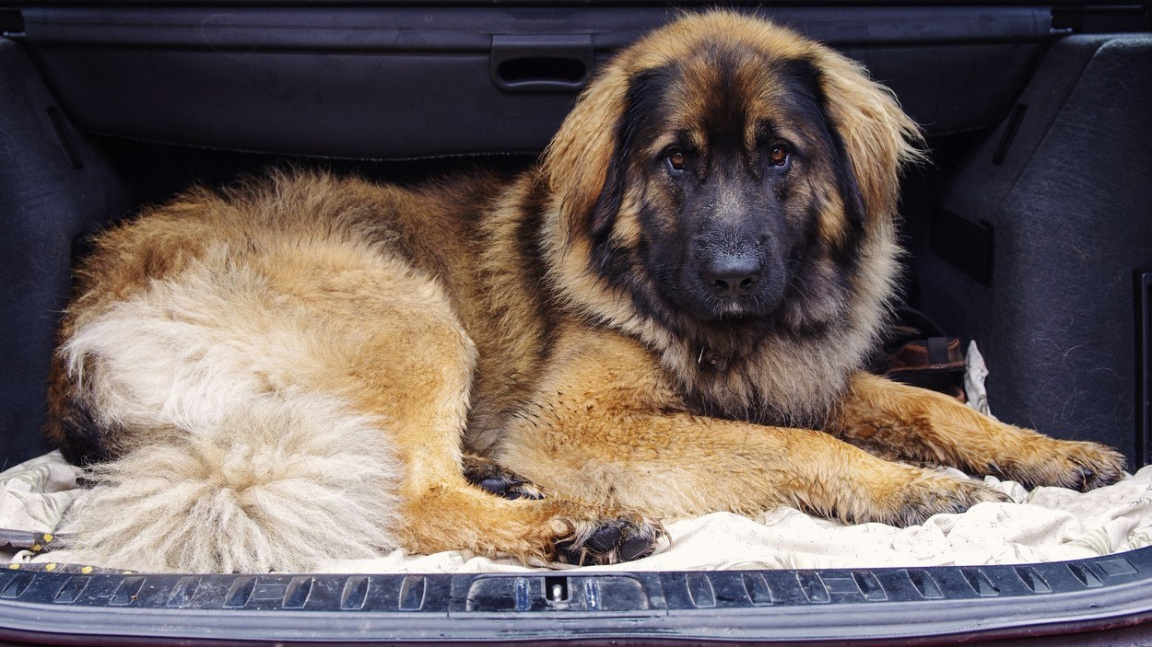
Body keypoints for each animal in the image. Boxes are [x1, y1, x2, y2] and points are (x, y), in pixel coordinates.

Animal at [44, 12, 1124, 571]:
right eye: (676, 162)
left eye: (779, 156)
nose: (736, 275)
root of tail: (89, 316)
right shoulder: (582, 420)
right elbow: (791, 446)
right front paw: (911, 489)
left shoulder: (797, 374)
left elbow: (933, 408)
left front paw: (1052, 451)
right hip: (410, 315)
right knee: (402, 496)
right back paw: (573, 524)